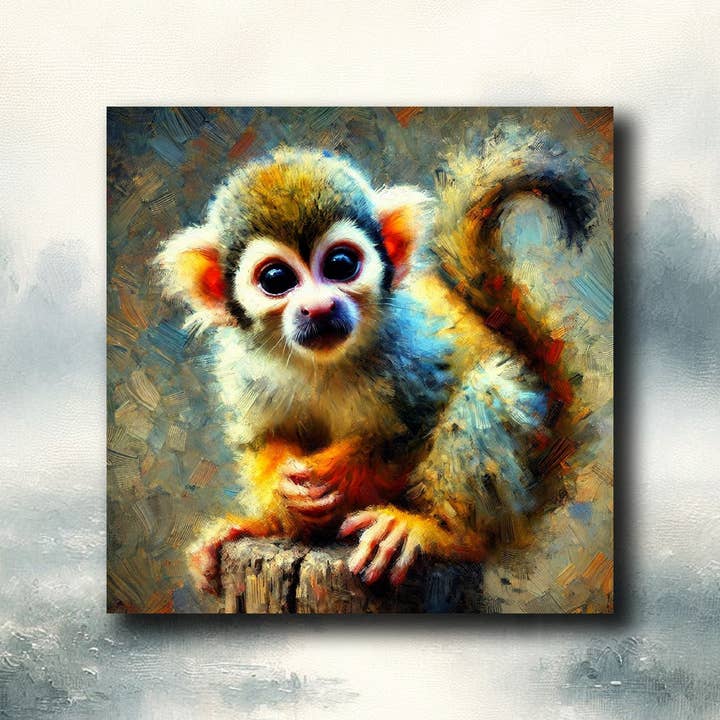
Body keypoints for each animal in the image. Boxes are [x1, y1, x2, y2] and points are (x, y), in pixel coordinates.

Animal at [156, 127, 599, 596]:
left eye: (340, 264)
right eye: (276, 279)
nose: (319, 307)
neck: (324, 363)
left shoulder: (413, 348)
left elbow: (409, 430)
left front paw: (340, 472)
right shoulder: (242, 370)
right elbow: (262, 438)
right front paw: (282, 489)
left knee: (486, 392)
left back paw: (444, 535)